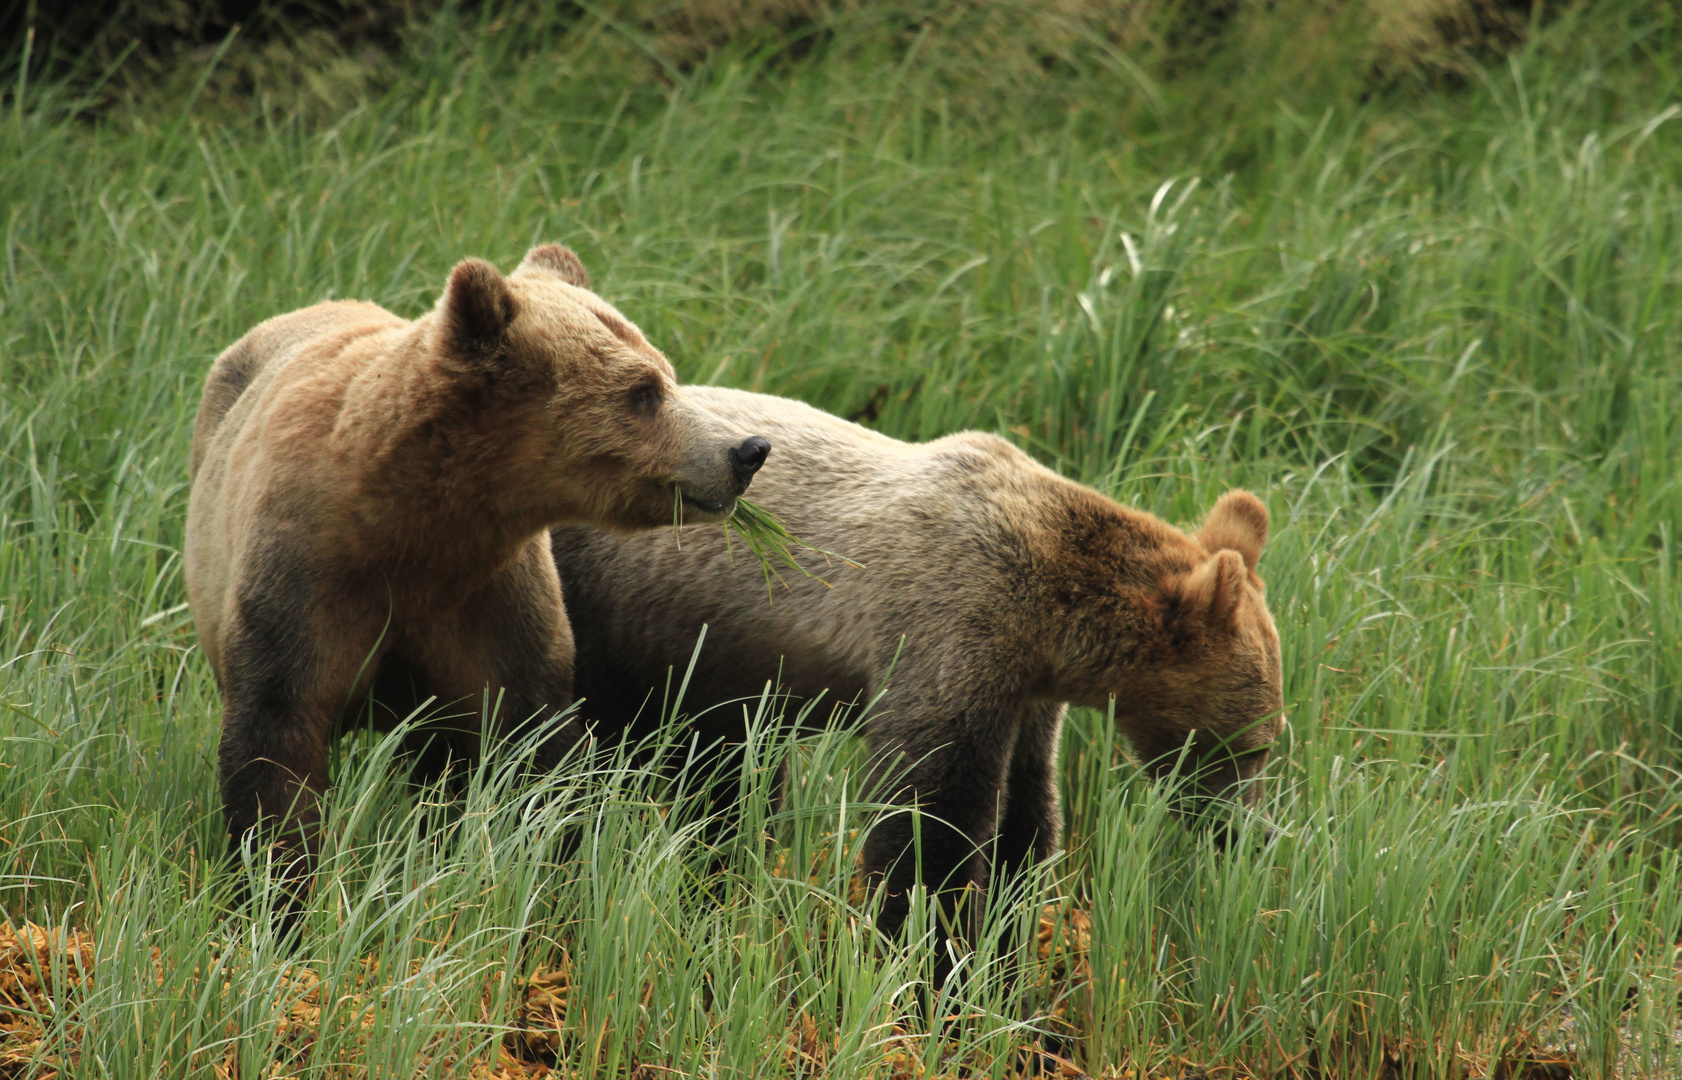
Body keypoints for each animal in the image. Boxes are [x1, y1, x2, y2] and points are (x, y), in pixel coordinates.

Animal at [182, 243, 770, 888]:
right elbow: (277, 735)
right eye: (643, 392)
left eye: (665, 372)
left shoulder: (490, 601)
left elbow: (533, 741)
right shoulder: (307, 576)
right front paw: (280, 881)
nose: (747, 450)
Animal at [548, 386, 1271, 942]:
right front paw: (929, 956)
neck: (1052, 615)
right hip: (613, 613)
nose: (1246, 834)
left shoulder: (1027, 688)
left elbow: (1026, 813)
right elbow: (932, 820)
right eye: (1258, 745)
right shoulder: (950, 624)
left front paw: (1006, 942)